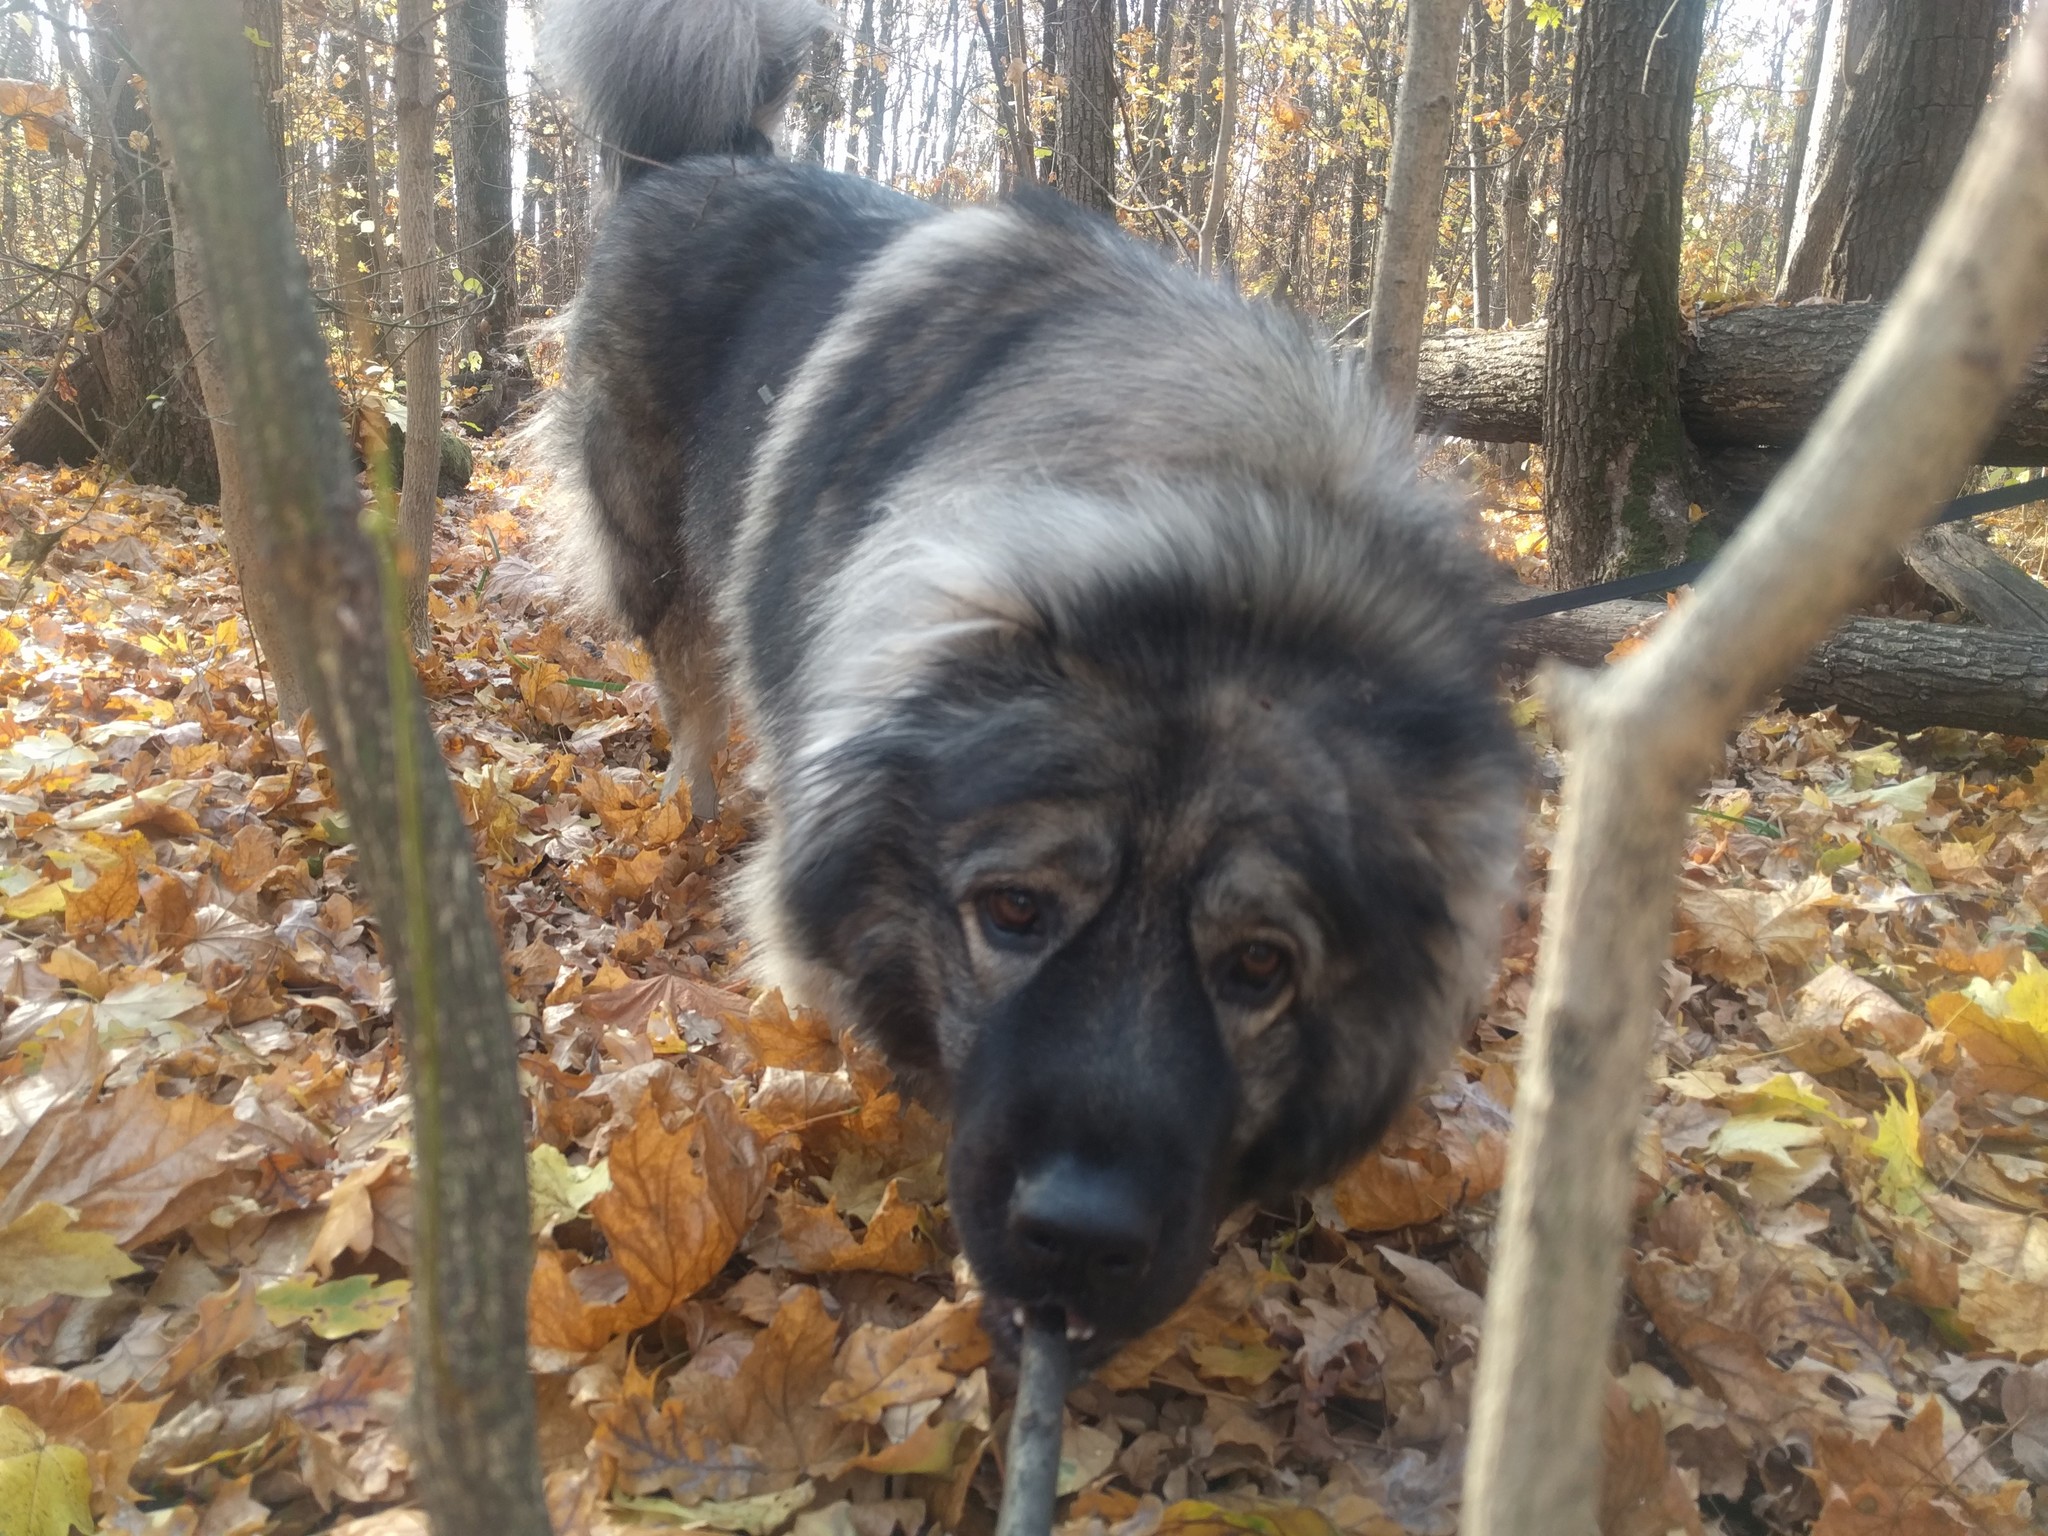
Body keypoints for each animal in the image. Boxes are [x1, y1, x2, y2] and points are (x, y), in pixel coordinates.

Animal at [536, 0, 1531, 1359]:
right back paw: (688, 805)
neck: (1221, 533)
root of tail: (703, 156)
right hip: (655, 553)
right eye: (1011, 912)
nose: (1082, 1236)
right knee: (689, 683)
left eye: (1258, 966)